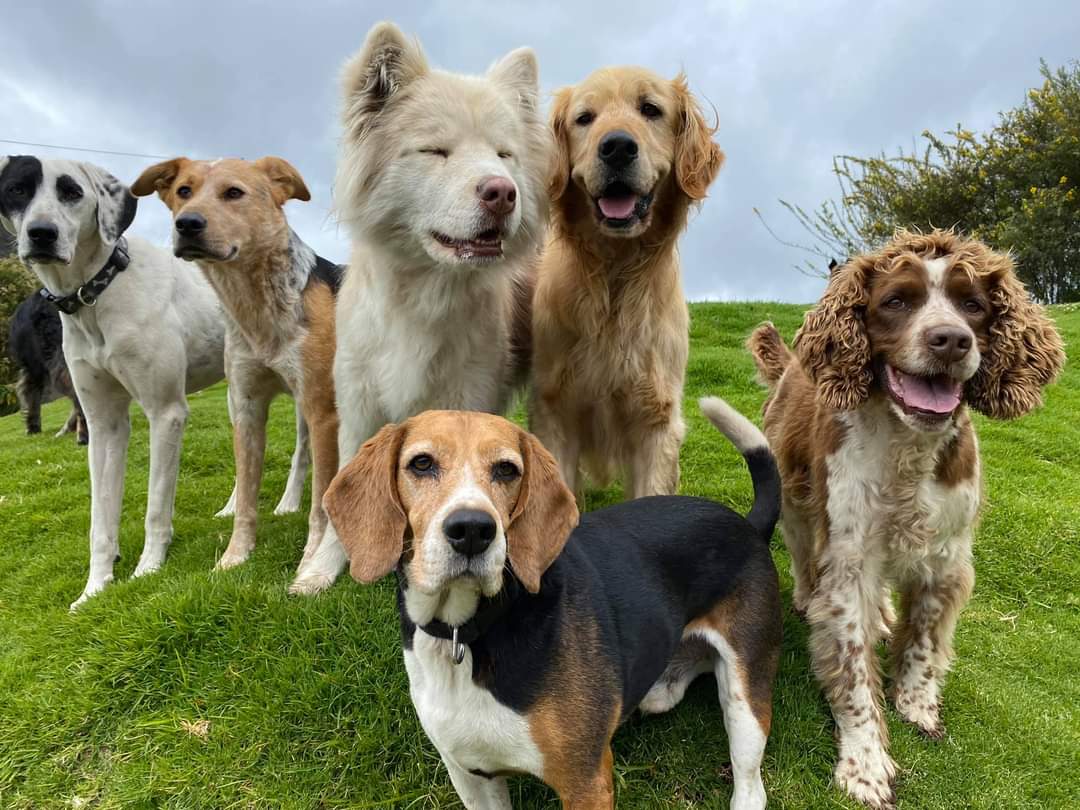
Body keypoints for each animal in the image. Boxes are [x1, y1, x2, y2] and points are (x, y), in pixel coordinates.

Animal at [289, 22, 548, 591]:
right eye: (436, 151)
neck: (424, 292)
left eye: (503, 155)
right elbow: (340, 496)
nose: (504, 193)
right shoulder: (357, 403)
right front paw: (321, 570)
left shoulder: (470, 398)